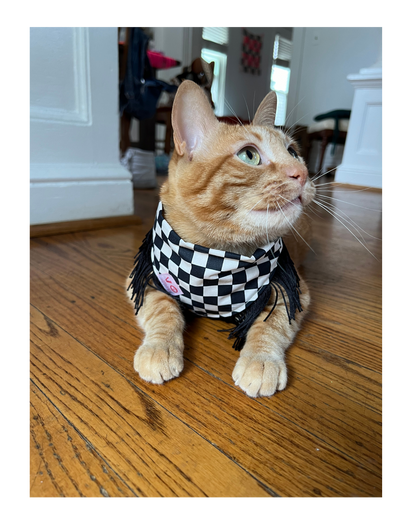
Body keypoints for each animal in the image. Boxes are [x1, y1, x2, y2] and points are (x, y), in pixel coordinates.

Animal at [126, 80, 314, 398]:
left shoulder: (295, 289)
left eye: (293, 151)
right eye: (249, 155)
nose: (301, 173)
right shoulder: (143, 275)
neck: (217, 258)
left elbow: (271, 322)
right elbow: (163, 310)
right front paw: (160, 347)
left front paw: (261, 360)